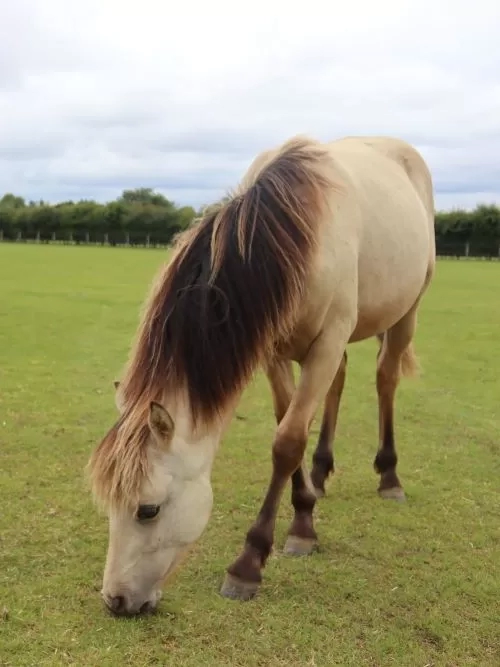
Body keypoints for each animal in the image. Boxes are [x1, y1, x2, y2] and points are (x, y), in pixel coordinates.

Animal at [88, 134, 436, 616]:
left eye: (147, 510)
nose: (115, 600)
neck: (291, 230)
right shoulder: (273, 348)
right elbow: (286, 424)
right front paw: (304, 512)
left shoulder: (327, 340)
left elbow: (287, 440)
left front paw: (251, 563)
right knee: (339, 383)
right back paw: (321, 475)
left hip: (407, 312)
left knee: (386, 379)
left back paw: (389, 477)